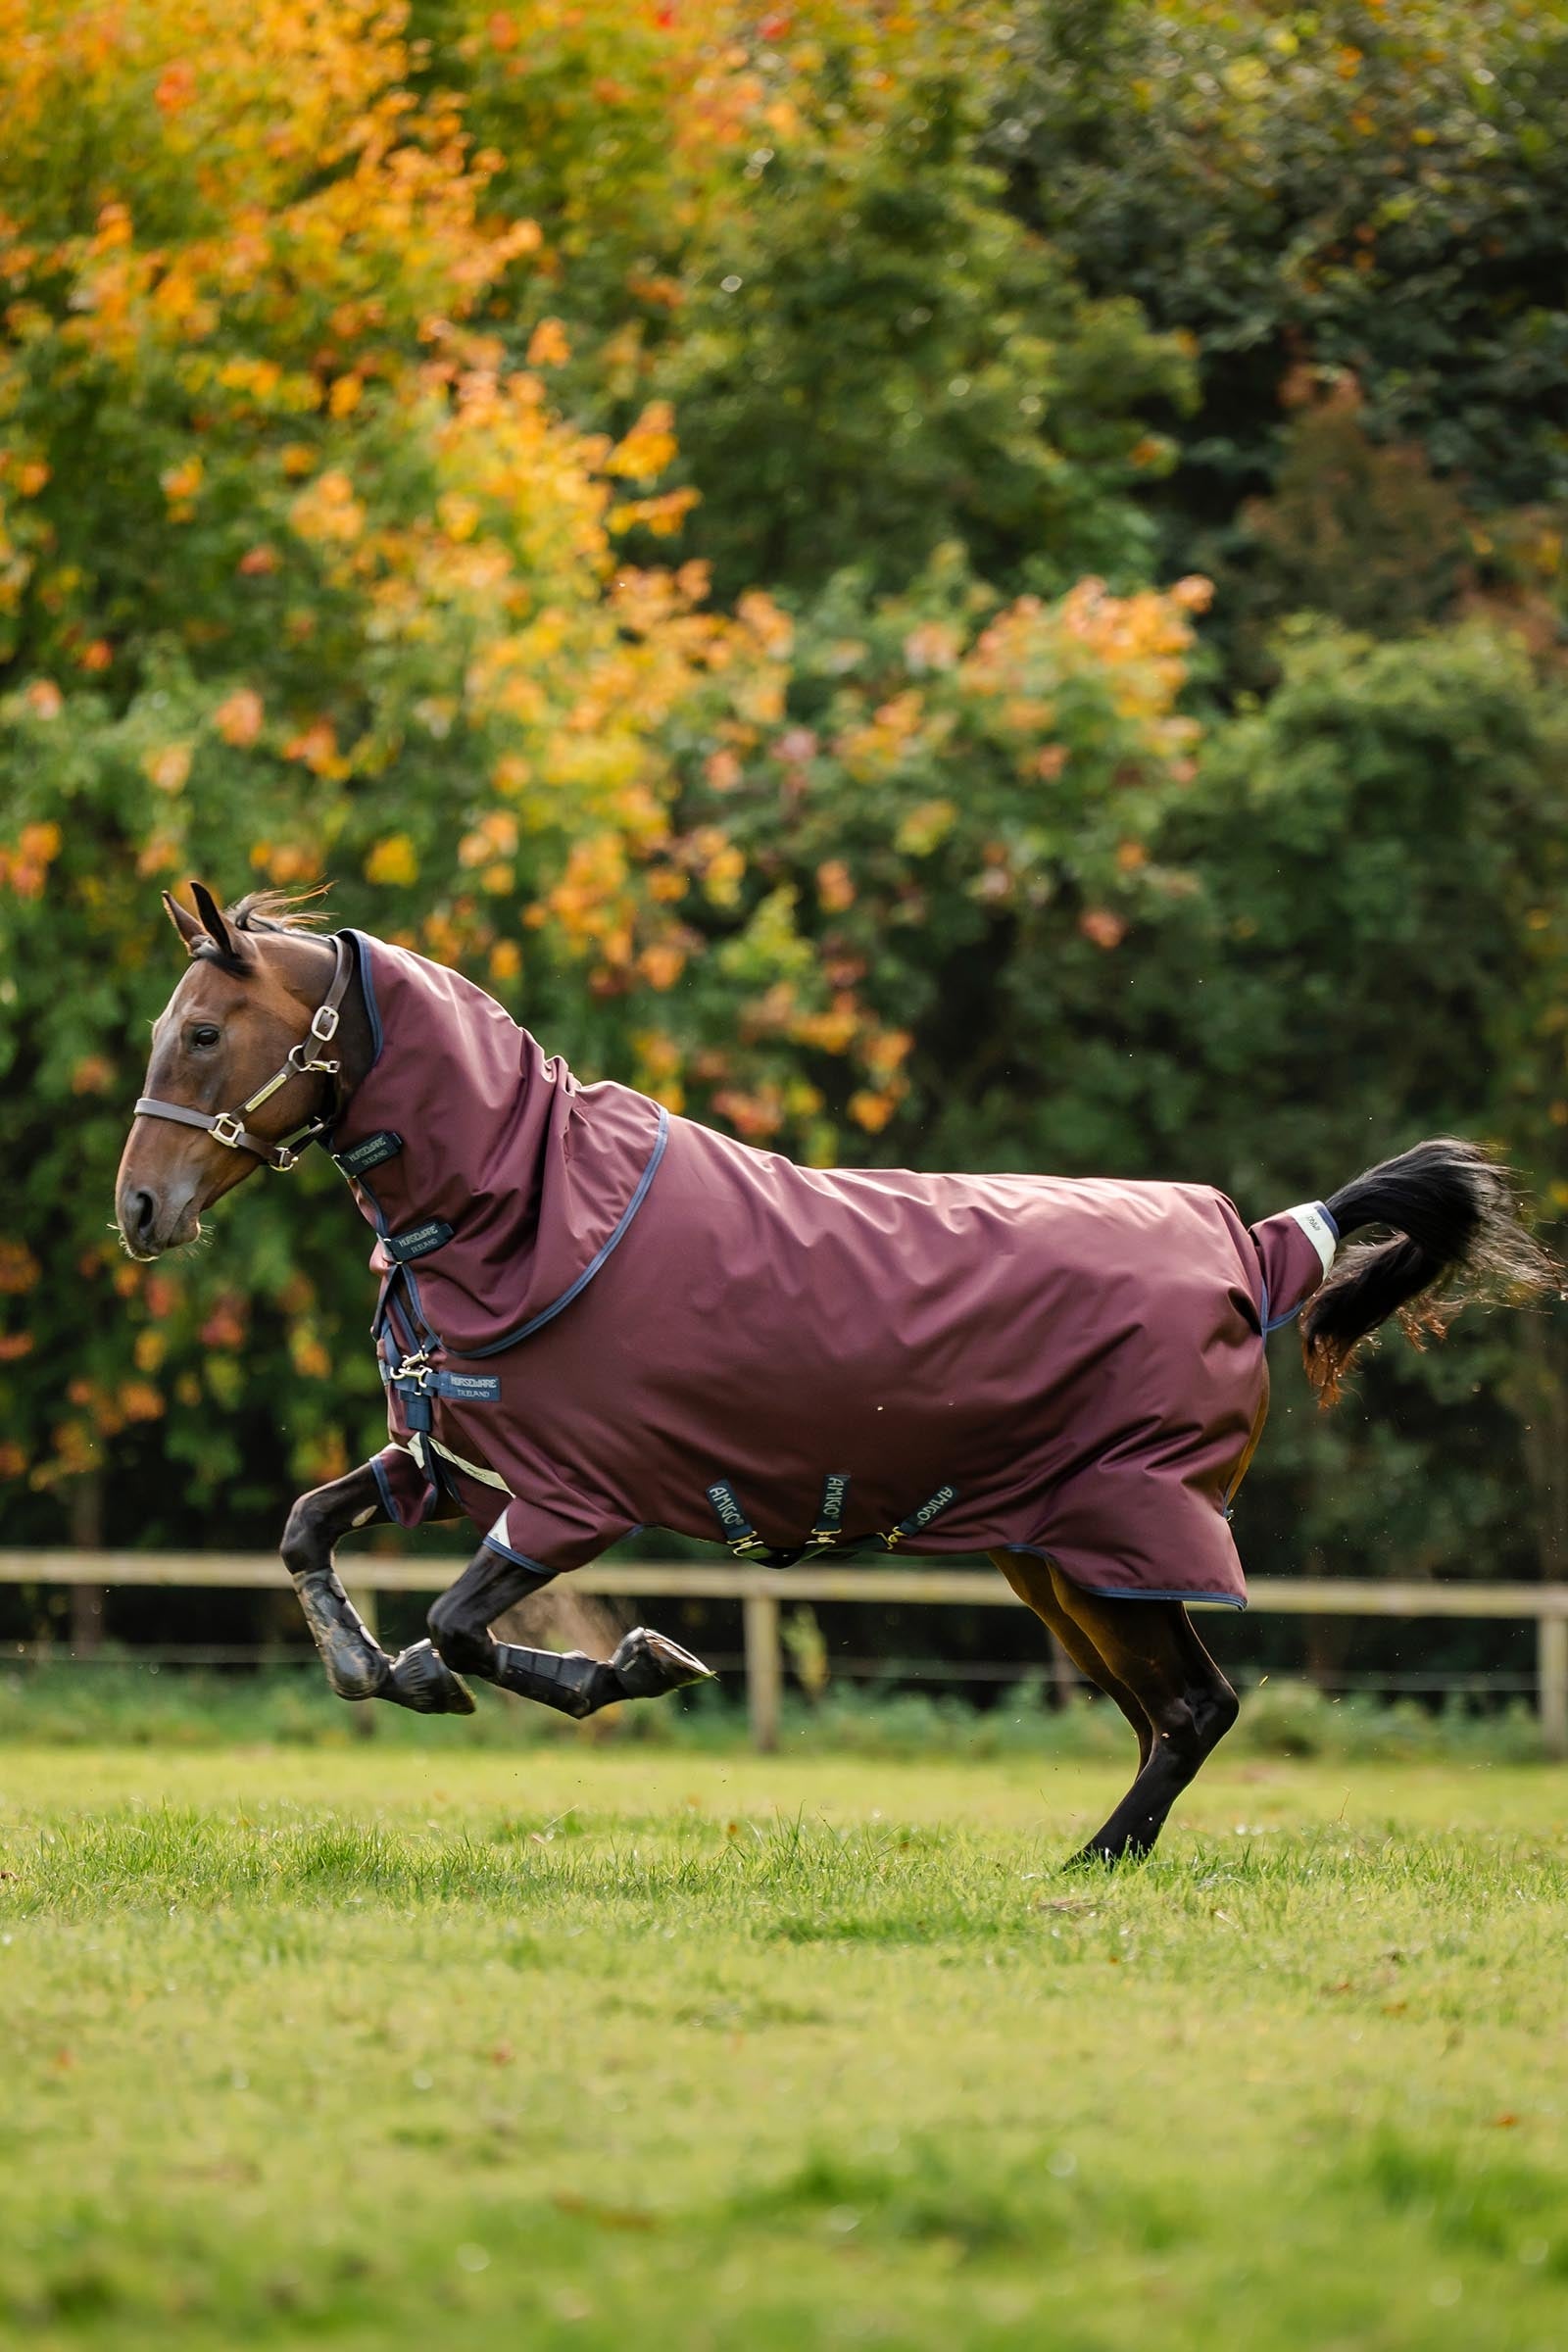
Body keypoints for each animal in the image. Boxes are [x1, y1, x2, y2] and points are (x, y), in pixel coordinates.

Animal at [113, 884, 1553, 1864]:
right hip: (1058, 1558)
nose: (138, 1209)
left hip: (1123, 1540)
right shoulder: (452, 1459)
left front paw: (627, 1665)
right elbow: (309, 1530)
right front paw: (373, 1666)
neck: (525, 1202)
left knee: (1197, 1708)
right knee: (1168, 1714)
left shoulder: (574, 1497)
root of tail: (1262, 1242)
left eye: (204, 1034)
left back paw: (1089, 1866)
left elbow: (464, 1625)